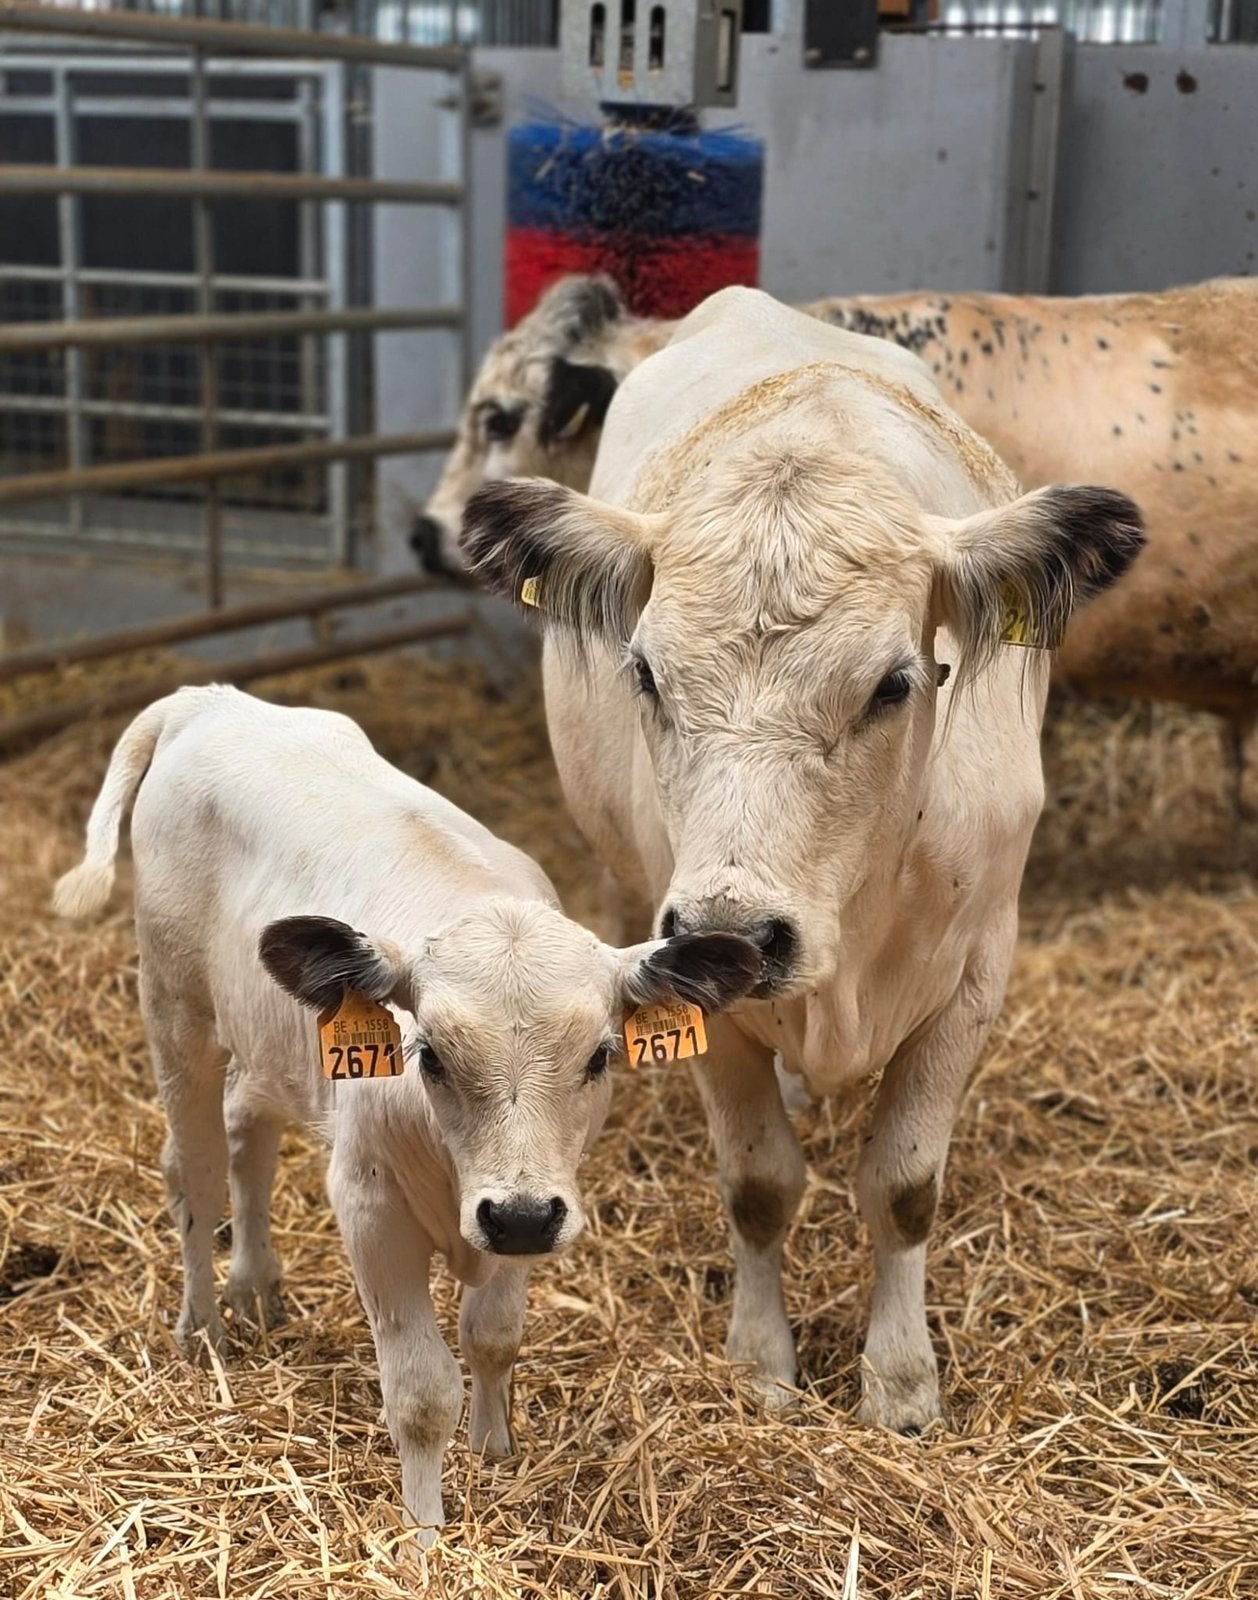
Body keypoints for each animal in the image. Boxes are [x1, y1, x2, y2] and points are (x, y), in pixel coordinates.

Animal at [53, 685, 759, 1539]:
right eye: (429, 1055)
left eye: (599, 1056)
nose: (519, 1218)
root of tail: (208, 700)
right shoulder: (370, 1204)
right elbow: (422, 1394)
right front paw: (426, 1533)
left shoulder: (528, 1199)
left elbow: (493, 1337)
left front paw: (496, 1453)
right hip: (176, 1007)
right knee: (194, 1171)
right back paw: (205, 1330)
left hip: (269, 1042)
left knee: (246, 1132)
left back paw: (256, 1287)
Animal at [460, 288, 1145, 1433]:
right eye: (644, 671)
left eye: (896, 682)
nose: (736, 934)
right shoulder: (695, 980)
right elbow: (759, 1183)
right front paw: (759, 1363)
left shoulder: (977, 971)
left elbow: (904, 1185)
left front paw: (901, 1383)